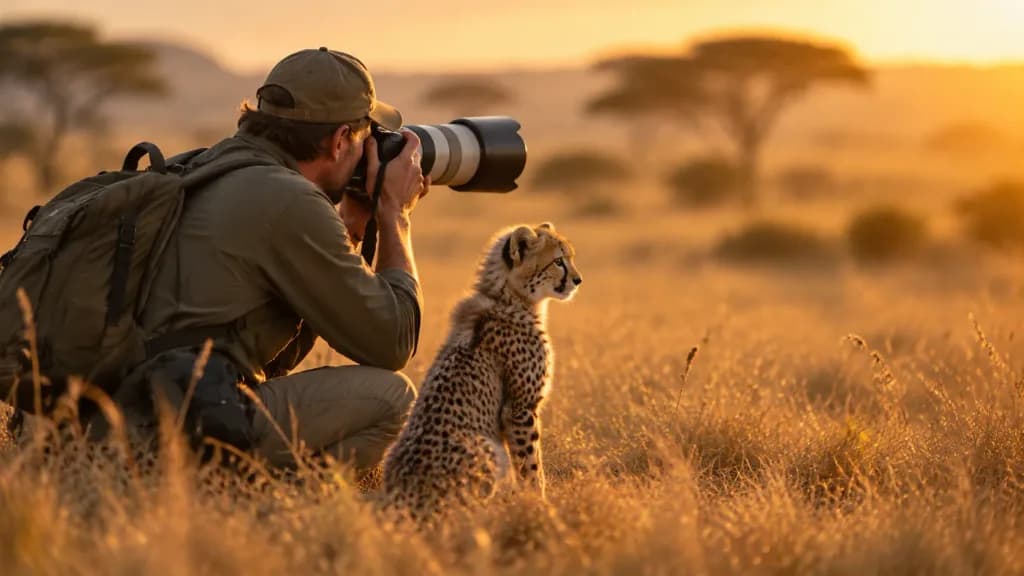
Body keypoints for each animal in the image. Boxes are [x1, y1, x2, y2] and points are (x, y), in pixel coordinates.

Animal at [381, 222, 581, 524]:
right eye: (558, 261)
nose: (578, 280)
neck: (508, 297)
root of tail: (397, 499)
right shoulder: (519, 409)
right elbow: (531, 466)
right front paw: (540, 505)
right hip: (488, 448)